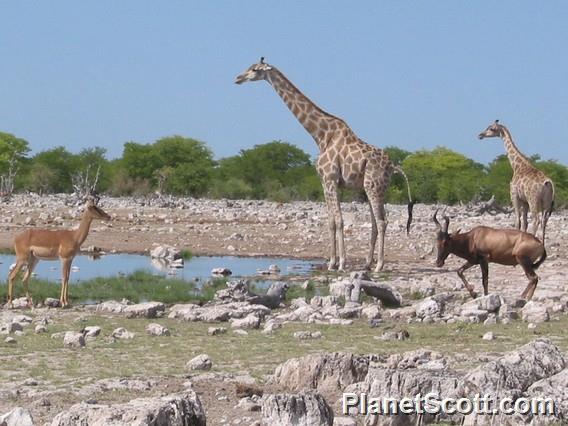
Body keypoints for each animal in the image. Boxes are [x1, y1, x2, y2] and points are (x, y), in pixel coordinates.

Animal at [235, 56, 412, 272]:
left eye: (254, 69)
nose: (238, 78)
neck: (320, 136)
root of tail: (393, 166)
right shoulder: (325, 182)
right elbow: (330, 221)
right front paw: (332, 262)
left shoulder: (330, 179)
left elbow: (339, 220)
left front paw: (341, 263)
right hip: (374, 187)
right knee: (375, 223)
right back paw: (367, 264)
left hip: (373, 185)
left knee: (382, 221)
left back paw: (379, 265)